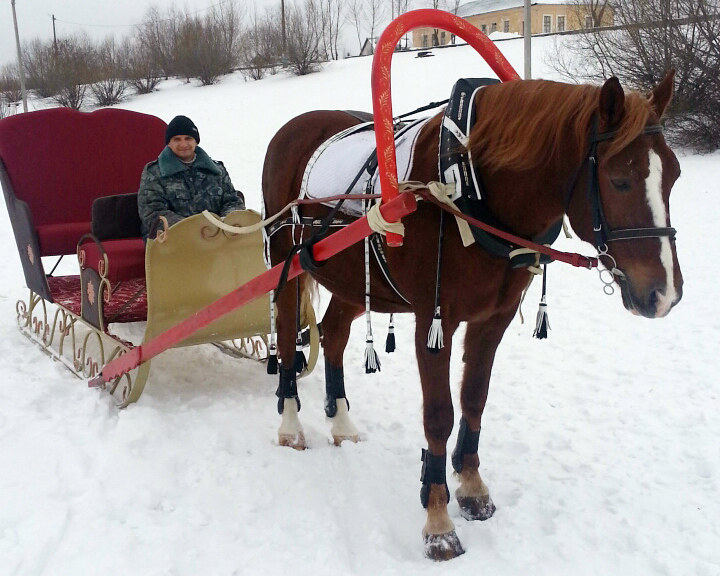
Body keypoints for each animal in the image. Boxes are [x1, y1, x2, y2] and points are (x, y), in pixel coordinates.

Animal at [262, 70, 684, 560]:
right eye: (618, 180)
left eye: (673, 175)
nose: (664, 294)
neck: (468, 188)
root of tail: (295, 126)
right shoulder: (434, 321)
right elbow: (439, 415)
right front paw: (438, 520)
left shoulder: (492, 319)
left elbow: (474, 399)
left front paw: (471, 485)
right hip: (286, 263)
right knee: (288, 337)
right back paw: (291, 424)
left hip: (353, 275)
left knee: (332, 335)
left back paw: (342, 423)